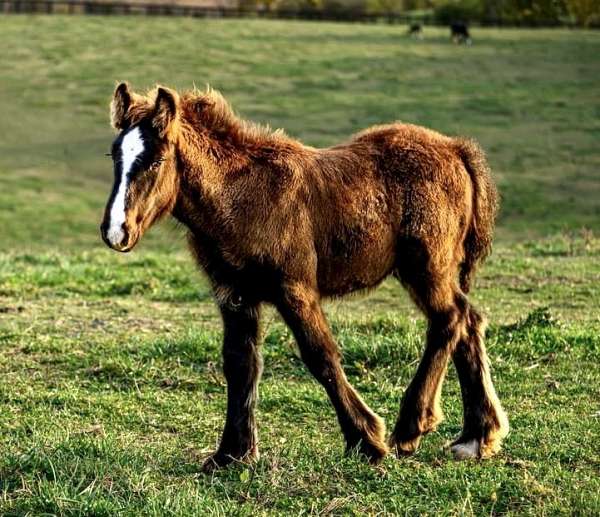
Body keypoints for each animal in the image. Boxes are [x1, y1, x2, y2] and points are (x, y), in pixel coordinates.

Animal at [101, 82, 508, 470]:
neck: (241, 196)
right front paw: (231, 454)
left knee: (450, 319)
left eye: (156, 160)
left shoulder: (294, 288)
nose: (116, 231)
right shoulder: (234, 293)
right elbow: (240, 363)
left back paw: (411, 427)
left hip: (426, 267)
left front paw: (365, 441)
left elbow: (320, 355)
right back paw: (476, 437)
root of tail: (456, 149)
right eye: (115, 156)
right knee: (469, 321)